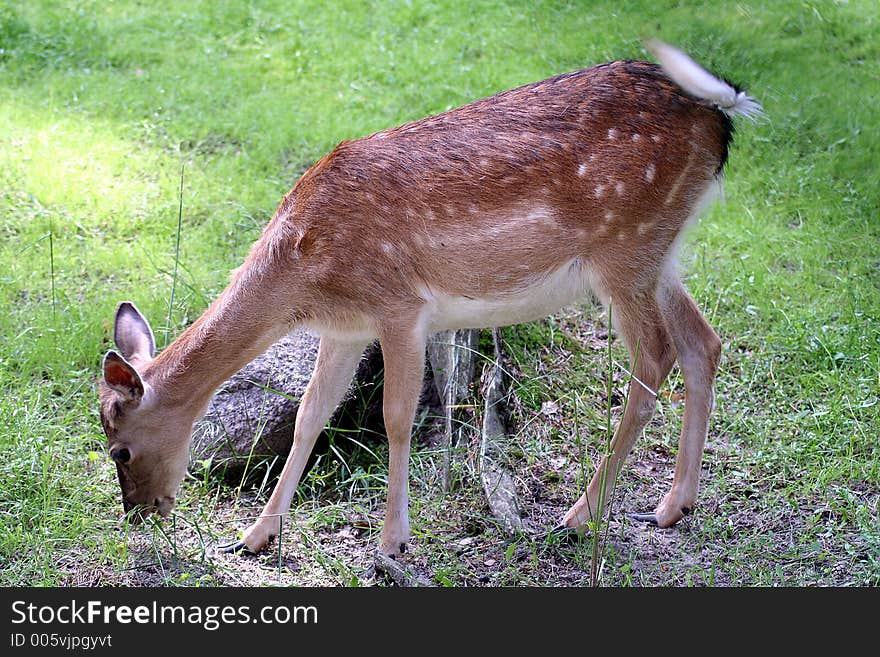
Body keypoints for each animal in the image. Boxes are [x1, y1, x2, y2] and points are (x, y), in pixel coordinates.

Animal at [94, 38, 756, 556]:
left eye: (119, 451)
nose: (141, 513)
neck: (303, 273)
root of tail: (720, 114)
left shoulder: (400, 307)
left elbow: (396, 418)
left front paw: (393, 540)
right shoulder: (345, 329)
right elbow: (311, 415)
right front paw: (256, 535)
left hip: (625, 248)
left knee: (656, 357)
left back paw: (578, 517)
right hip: (659, 253)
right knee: (704, 341)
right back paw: (673, 506)